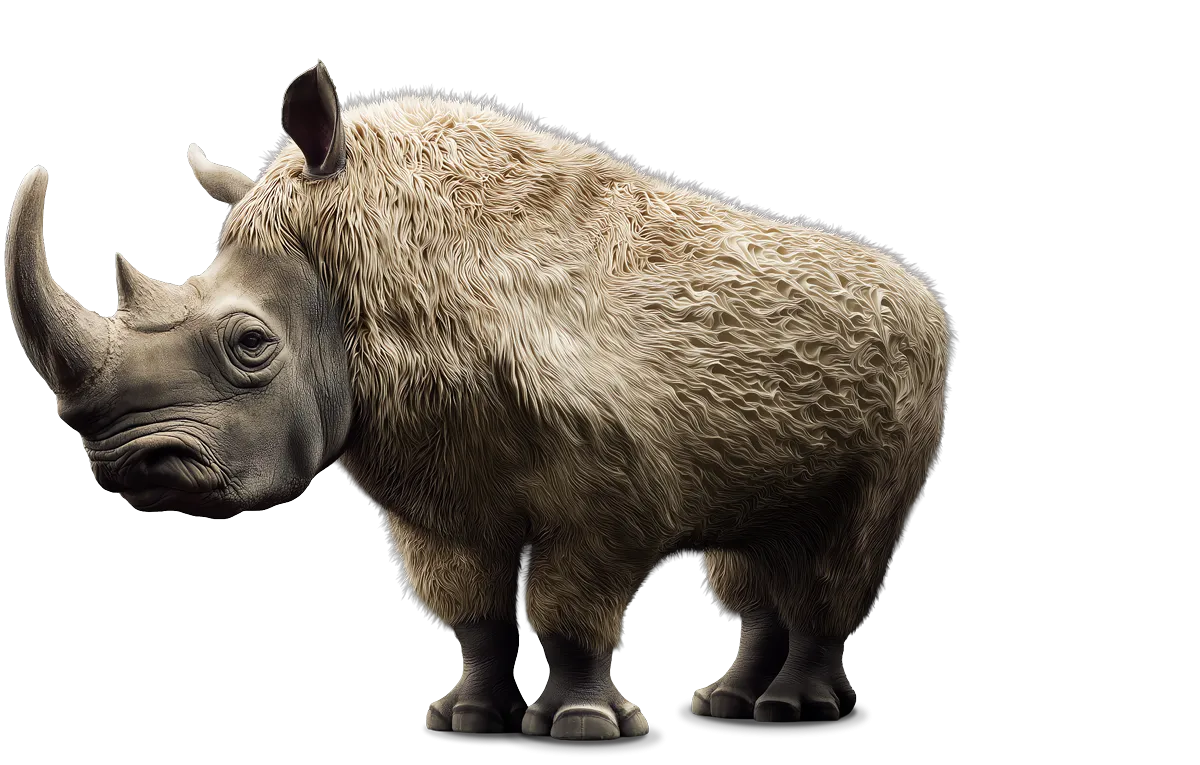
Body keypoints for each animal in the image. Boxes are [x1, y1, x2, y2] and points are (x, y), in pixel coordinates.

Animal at [5, 62, 952, 739]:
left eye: (250, 345)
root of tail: (923, 295)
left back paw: (795, 707)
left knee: (842, 546)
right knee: (754, 548)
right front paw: (466, 715)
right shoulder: (438, 485)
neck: (355, 272)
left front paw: (581, 724)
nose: (131, 467)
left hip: (913, 376)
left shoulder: (612, 493)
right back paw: (727, 700)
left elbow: (569, 607)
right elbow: (473, 609)